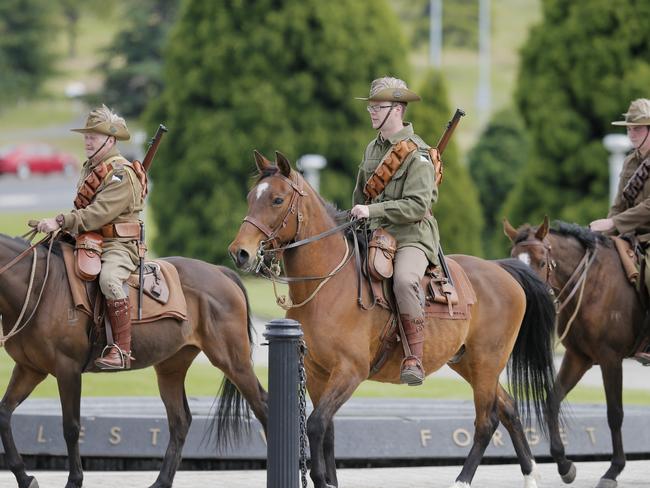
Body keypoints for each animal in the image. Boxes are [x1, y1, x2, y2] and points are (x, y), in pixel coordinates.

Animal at [0, 234, 268, 488]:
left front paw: (74, 480)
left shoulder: (68, 370)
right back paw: (161, 481)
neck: (40, 287)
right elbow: (4, 413)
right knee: (180, 421)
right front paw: (24, 477)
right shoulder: (29, 369)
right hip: (171, 367)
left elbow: (71, 427)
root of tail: (220, 272)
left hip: (233, 361)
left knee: (262, 405)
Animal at [227, 150, 556, 488]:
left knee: (487, 420)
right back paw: (530, 475)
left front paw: (322, 480)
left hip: (487, 363)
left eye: (277, 200)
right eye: (251, 197)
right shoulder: (318, 373)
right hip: (469, 363)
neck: (327, 284)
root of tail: (502, 269)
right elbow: (327, 430)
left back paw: (462, 479)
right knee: (509, 408)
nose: (239, 252)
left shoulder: (350, 371)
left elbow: (317, 425)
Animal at [502, 217, 644, 488]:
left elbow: (615, 413)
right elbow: (551, 400)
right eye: (513, 259)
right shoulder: (578, 357)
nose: (524, 296)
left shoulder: (611, 359)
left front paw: (613, 470)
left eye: (542, 262)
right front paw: (564, 464)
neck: (591, 284)